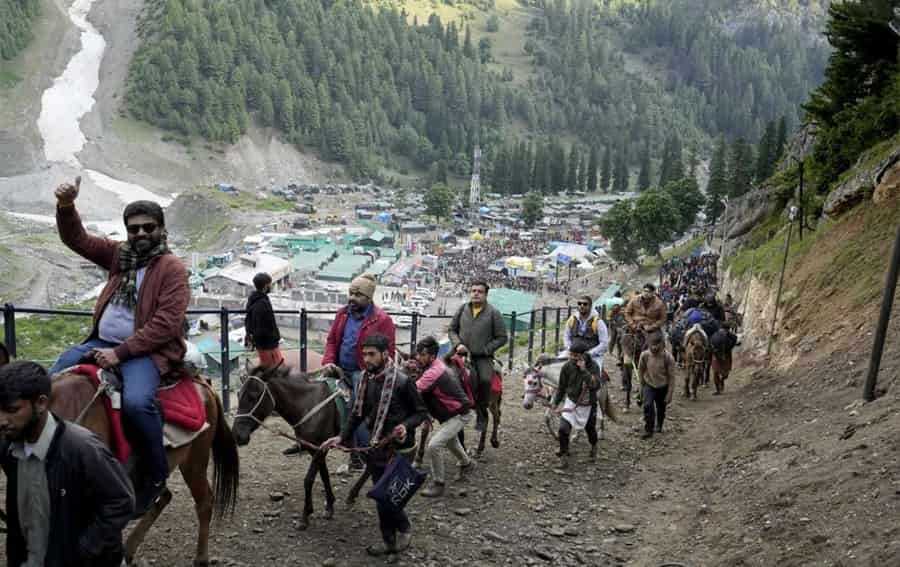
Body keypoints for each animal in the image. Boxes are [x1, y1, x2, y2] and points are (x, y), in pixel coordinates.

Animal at [232, 366, 342, 532]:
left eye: (253, 396)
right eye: (239, 395)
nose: (237, 435)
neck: (309, 405)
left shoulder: (319, 449)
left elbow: (309, 479)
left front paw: (305, 516)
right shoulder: (317, 449)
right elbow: (324, 475)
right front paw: (329, 506)